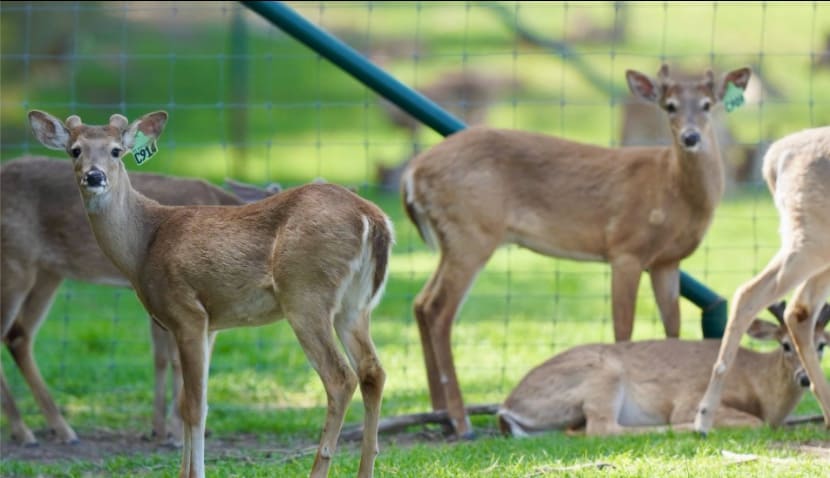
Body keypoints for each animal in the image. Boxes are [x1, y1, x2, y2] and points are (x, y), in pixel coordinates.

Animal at [0, 155, 280, 448]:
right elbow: (179, 359)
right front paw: (175, 433)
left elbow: (160, 357)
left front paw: (160, 430)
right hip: (15, 260)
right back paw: (25, 430)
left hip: (48, 271)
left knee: (19, 336)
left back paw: (59, 429)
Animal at [400, 64, 752, 438]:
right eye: (669, 106)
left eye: (707, 104)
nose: (690, 137)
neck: (672, 190)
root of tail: (412, 173)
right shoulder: (625, 249)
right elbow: (623, 328)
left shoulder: (667, 262)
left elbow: (673, 327)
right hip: (472, 232)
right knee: (439, 309)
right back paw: (461, 420)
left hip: (452, 240)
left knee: (420, 302)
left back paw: (436, 412)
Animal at [497, 301, 830, 437]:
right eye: (785, 344)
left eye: (823, 344)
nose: (804, 378)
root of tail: (507, 406)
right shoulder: (692, 398)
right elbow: (755, 423)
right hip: (603, 374)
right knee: (602, 428)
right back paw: (690, 428)